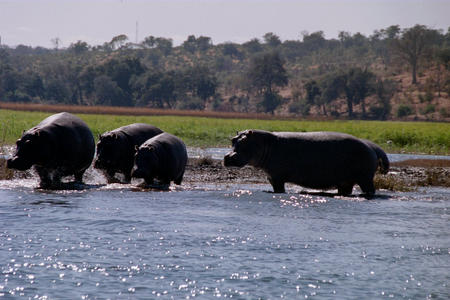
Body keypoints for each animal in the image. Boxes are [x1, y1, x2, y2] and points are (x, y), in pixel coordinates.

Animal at [225, 130, 390, 196]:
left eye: (244, 141)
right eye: (233, 140)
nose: (227, 156)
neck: (264, 143)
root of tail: (372, 147)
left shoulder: (277, 177)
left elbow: (279, 189)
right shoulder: (271, 176)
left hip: (365, 178)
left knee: (370, 189)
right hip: (346, 181)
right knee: (346, 190)